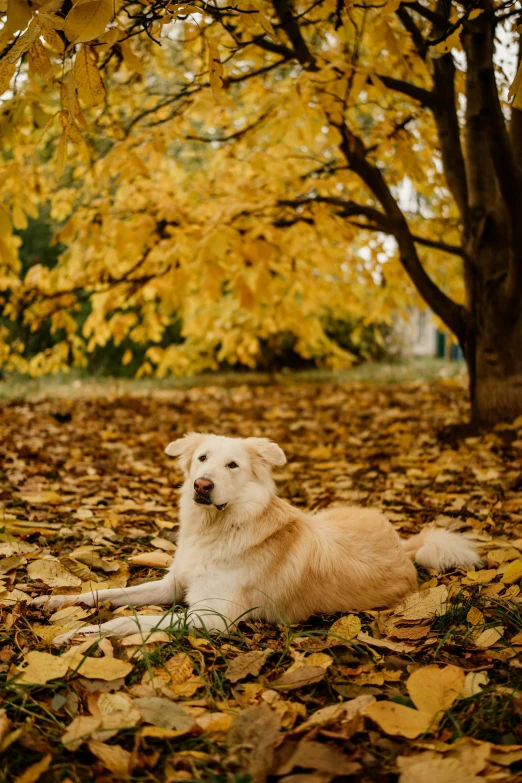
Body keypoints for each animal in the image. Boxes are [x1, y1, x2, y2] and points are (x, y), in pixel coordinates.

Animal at [33, 432, 480, 648]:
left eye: (232, 465)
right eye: (201, 459)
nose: (201, 485)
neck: (218, 529)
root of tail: (403, 547)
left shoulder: (212, 616)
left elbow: (131, 619)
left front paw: (80, 635)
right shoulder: (173, 586)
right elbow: (108, 593)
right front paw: (53, 602)